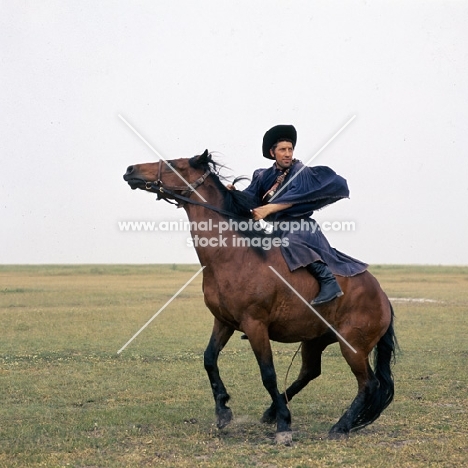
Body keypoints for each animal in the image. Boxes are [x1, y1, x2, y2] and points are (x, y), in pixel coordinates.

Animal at [122, 152, 396, 444]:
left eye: (173, 164)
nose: (130, 170)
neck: (232, 255)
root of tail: (382, 296)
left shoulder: (255, 325)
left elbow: (268, 374)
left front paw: (284, 425)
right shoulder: (224, 322)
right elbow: (209, 359)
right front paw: (223, 411)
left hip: (353, 346)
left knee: (368, 384)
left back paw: (339, 426)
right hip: (315, 339)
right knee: (310, 372)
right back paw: (273, 412)